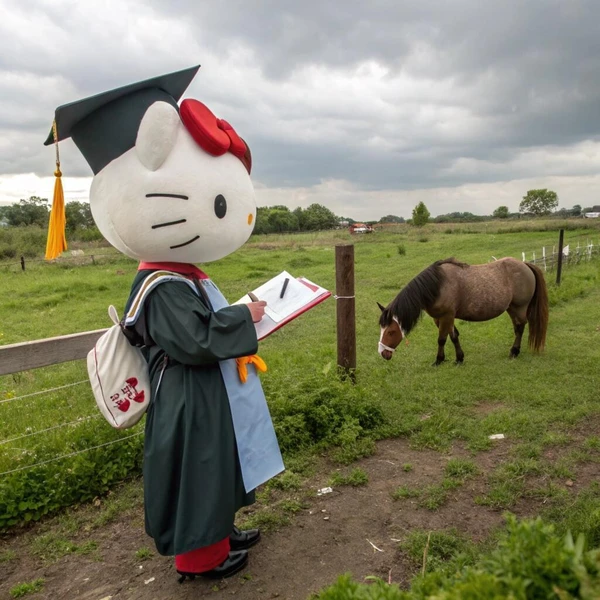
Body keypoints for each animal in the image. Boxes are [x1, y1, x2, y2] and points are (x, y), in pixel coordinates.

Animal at [380, 255, 548, 364]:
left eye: (391, 332)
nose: (383, 353)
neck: (437, 286)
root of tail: (525, 265)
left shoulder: (447, 316)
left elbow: (442, 339)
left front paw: (439, 360)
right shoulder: (441, 318)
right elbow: (454, 336)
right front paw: (459, 358)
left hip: (520, 307)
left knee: (520, 328)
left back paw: (514, 352)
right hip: (511, 308)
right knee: (517, 327)